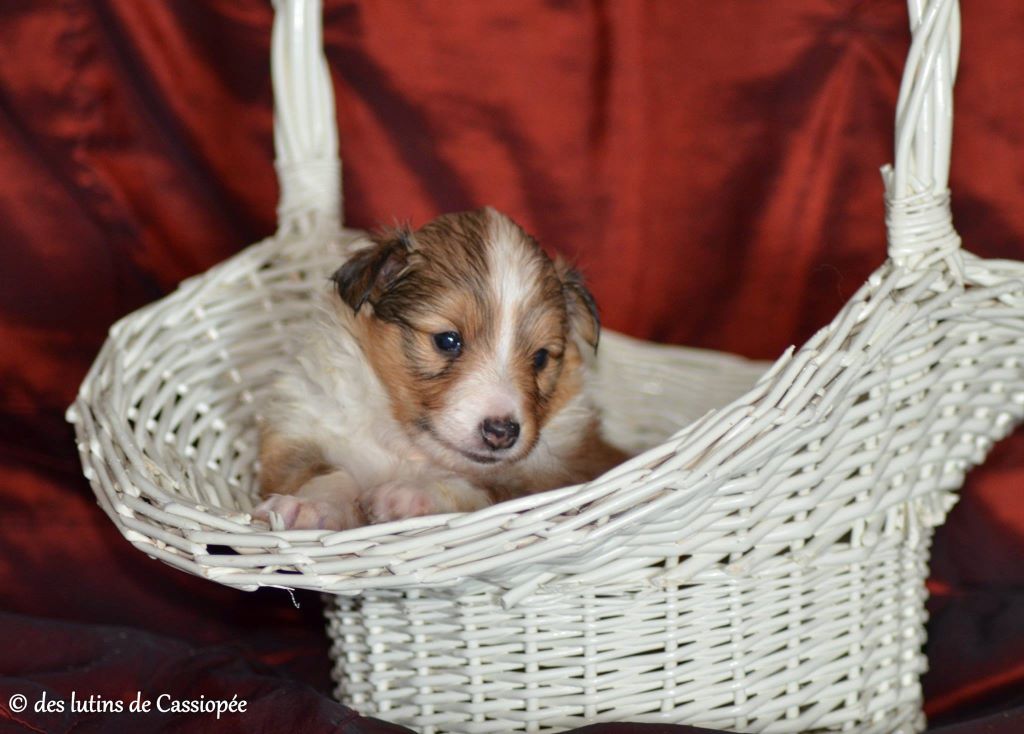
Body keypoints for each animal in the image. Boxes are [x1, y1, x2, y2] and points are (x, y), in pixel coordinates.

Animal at [253, 205, 622, 528]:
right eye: (447, 340)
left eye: (541, 357)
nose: (501, 432)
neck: (409, 448)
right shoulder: (300, 431)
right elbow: (325, 472)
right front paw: (310, 506)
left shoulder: (556, 477)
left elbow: (482, 487)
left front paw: (406, 495)